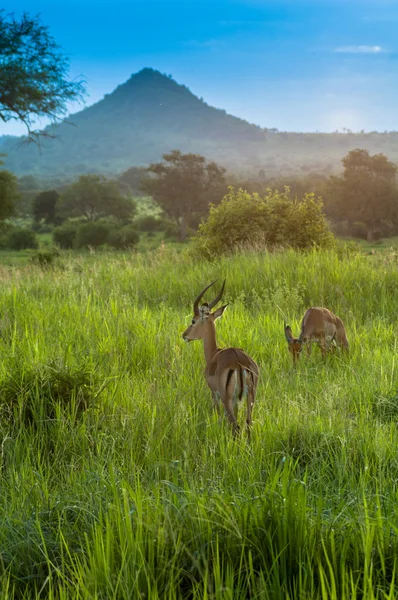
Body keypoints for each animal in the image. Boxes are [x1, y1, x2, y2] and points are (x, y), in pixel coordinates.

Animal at [182, 278, 260, 438]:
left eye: (193, 321)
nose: (184, 335)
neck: (214, 353)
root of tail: (239, 362)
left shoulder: (214, 394)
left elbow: (217, 418)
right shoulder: (237, 401)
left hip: (226, 399)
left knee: (235, 427)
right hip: (250, 398)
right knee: (248, 424)